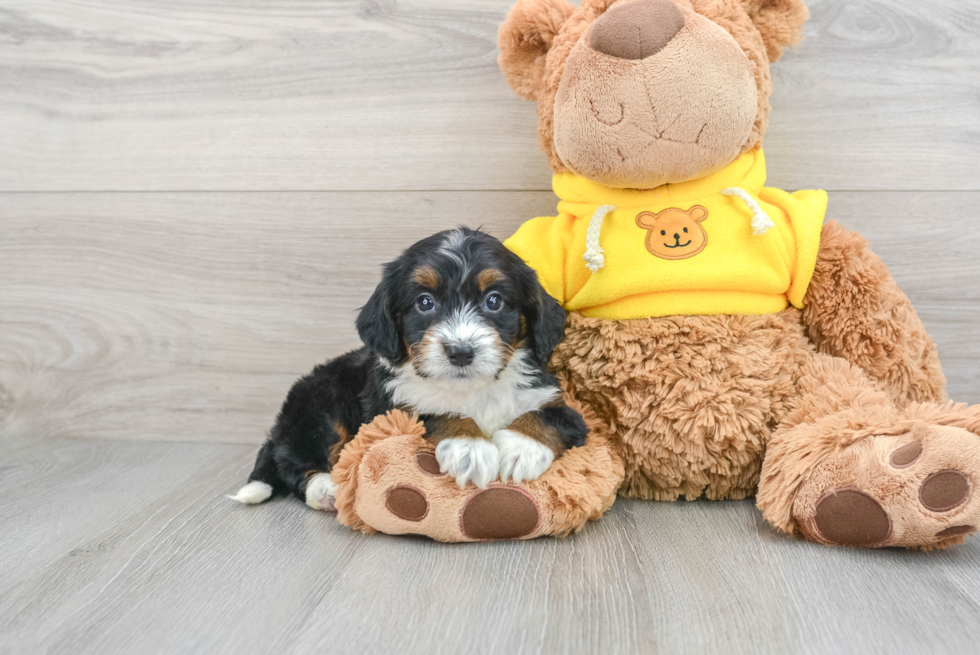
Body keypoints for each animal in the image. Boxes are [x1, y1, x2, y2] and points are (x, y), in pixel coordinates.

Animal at [230, 228, 584, 510]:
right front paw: (469, 447)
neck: (472, 389)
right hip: (321, 402)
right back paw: (325, 488)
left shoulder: (554, 401)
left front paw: (522, 449)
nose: (460, 352)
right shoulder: (393, 409)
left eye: (494, 301)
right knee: (294, 459)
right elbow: (436, 412)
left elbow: (549, 418)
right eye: (424, 302)